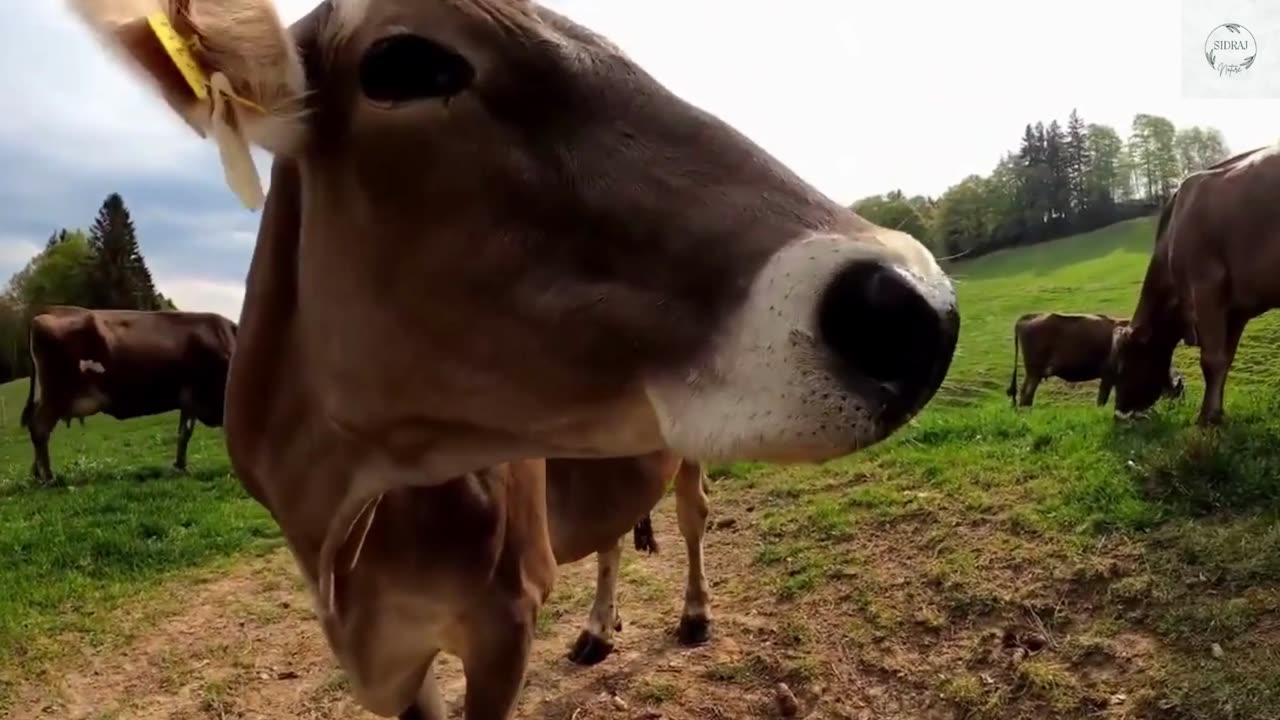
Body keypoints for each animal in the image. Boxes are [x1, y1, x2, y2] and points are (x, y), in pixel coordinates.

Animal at [20, 299, 238, 479]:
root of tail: (50, 310)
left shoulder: (190, 400)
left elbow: (184, 433)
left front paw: (180, 466)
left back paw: (36, 475)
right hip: (55, 396)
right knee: (39, 429)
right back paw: (48, 477)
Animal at [62, 2, 962, 712]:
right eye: (406, 64)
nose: (915, 306)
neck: (348, 516)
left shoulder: (504, 619)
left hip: (690, 459)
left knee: (692, 517)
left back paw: (693, 613)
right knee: (612, 532)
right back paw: (600, 627)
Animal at [1003, 310, 1182, 407]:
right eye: (1178, 393)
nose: (1178, 409)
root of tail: (1028, 318)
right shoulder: (1109, 376)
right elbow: (1102, 400)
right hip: (1034, 372)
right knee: (1026, 395)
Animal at [1111, 144, 1280, 425]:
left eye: (1124, 364)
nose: (1120, 410)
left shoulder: (1207, 288)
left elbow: (1211, 360)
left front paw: (1206, 417)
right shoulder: (1236, 310)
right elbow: (1225, 358)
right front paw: (1217, 412)